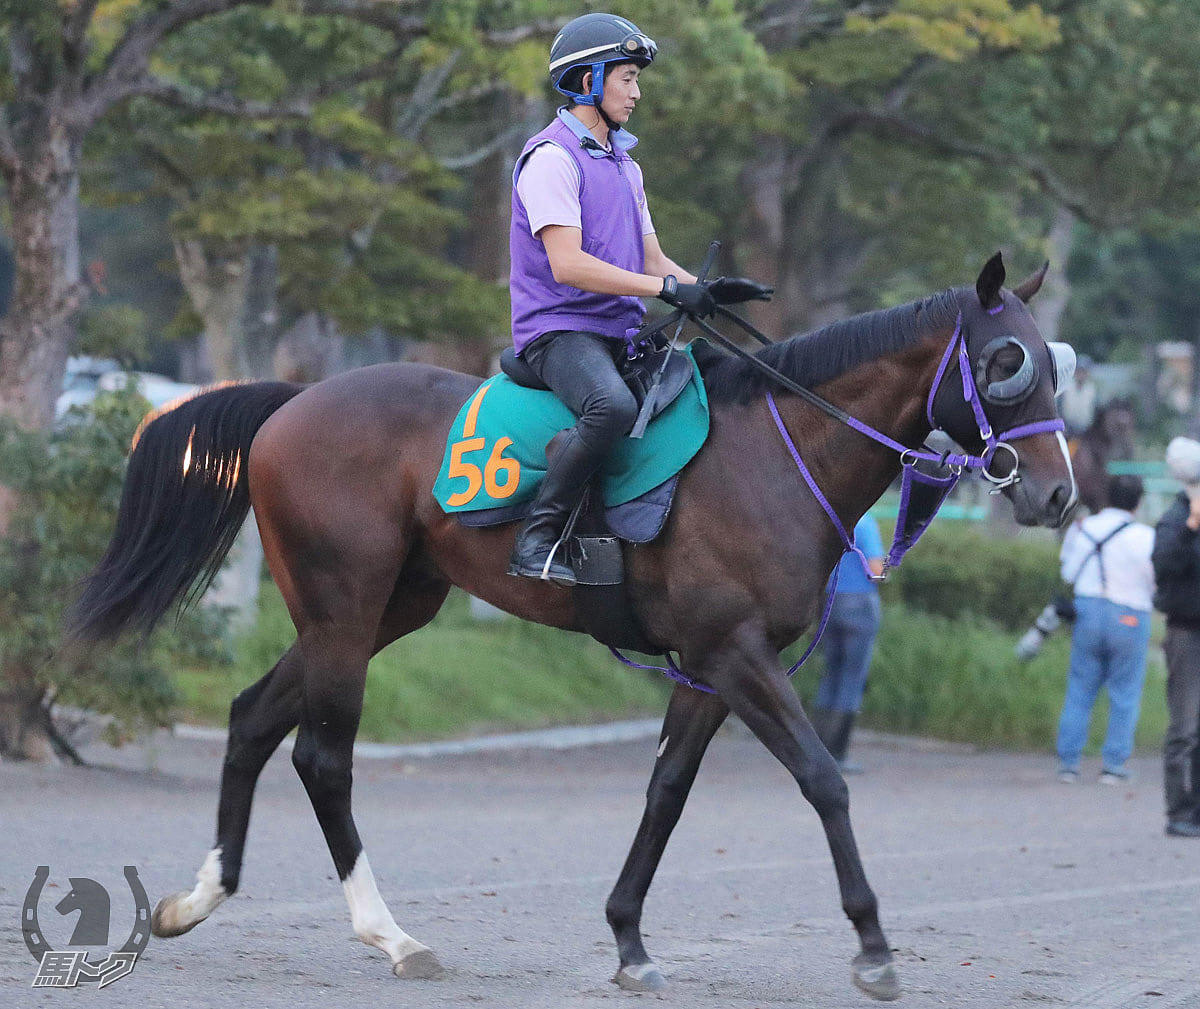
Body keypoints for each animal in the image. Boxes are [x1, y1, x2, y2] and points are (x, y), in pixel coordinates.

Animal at [72, 254, 1080, 998]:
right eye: (1008, 363)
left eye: (1050, 359)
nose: (1057, 493)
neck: (775, 452)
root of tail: (293, 401)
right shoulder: (738, 656)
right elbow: (822, 779)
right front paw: (872, 942)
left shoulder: (710, 668)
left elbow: (666, 793)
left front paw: (629, 937)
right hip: (343, 610)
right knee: (323, 757)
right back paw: (388, 933)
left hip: (378, 610)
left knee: (251, 715)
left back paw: (197, 899)